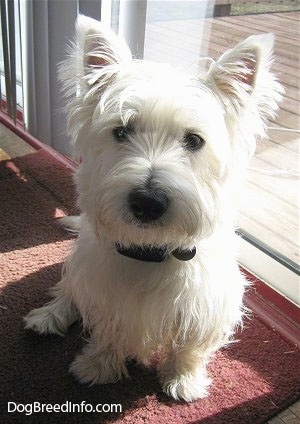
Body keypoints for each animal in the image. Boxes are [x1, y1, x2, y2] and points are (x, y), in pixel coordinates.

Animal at [24, 15, 282, 400]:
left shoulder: (209, 302)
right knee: (68, 290)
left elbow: (191, 345)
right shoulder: (106, 291)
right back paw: (47, 317)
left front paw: (184, 380)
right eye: (121, 131)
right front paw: (97, 367)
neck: (151, 250)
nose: (147, 202)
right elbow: (108, 327)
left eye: (194, 140)